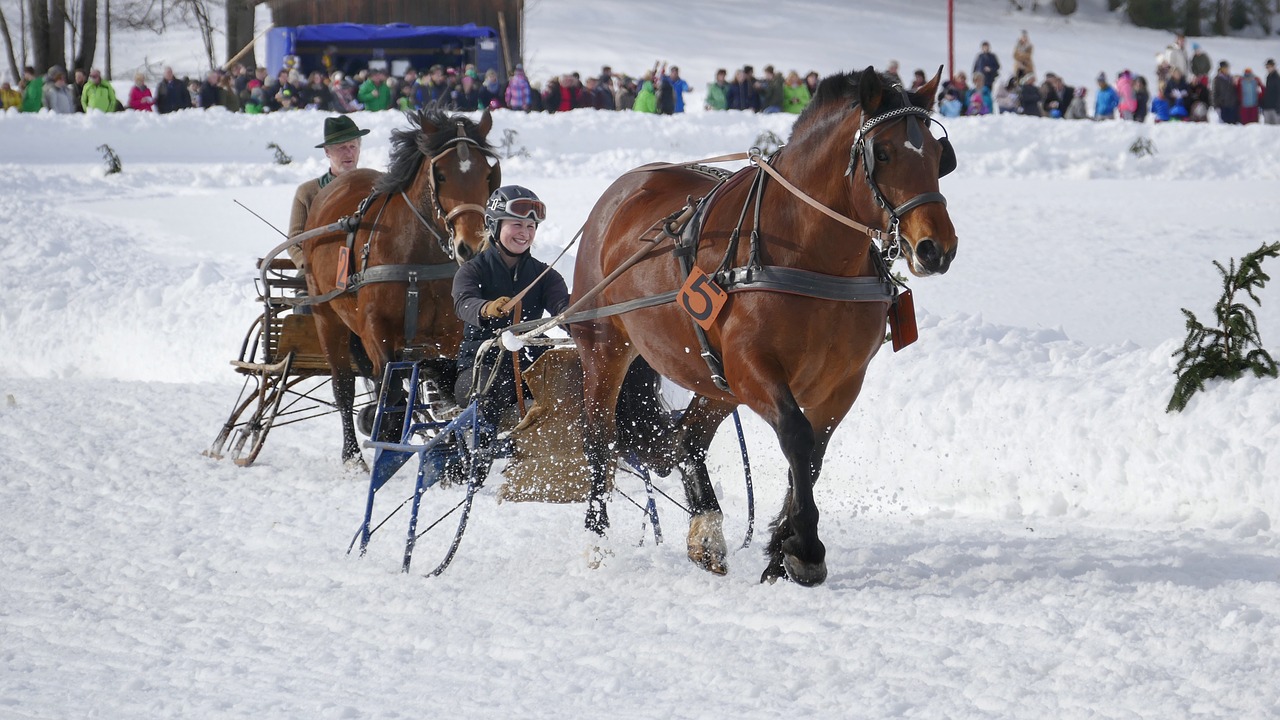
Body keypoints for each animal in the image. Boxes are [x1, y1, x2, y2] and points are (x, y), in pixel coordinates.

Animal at [303, 106, 499, 466]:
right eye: (441, 174)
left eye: (486, 174)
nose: (471, 246)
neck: (416, 257)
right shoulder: (374, 329)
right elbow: (389, 389)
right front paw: (385, 431)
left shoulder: (449, 334)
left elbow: (447, 388)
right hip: (327, 316)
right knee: (344, 385)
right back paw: (352, 455)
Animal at [576, 65, 957, 584]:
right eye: (883, 152)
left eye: (940, 156)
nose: (937, 248)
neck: (810, 253)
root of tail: (619, 193)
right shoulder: (752, 366)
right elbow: (796, 436)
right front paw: (805, 548)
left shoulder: (842, 382)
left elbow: (812, 456)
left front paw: (781, 547)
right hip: (606, 348)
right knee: (600, 438)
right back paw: (596, 543)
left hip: (715, 379)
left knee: (688, 439)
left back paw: (706, 534)